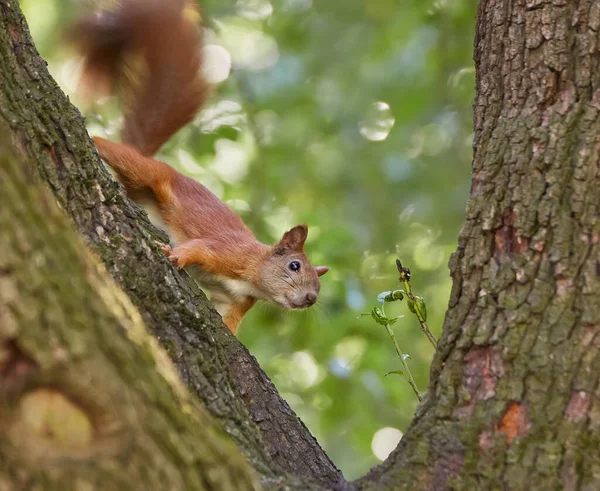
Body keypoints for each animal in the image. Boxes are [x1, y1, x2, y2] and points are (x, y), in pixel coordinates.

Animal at [71, 0, 332, 334]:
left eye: (318, 284)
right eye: (294, 265)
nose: (310, 298)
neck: (254, 273)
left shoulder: (235, 302)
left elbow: (228, 323)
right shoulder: (226, 251)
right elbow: (198, 248)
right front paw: (176, 256)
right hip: (149, 172)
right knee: (119, 153)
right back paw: (93, 136)